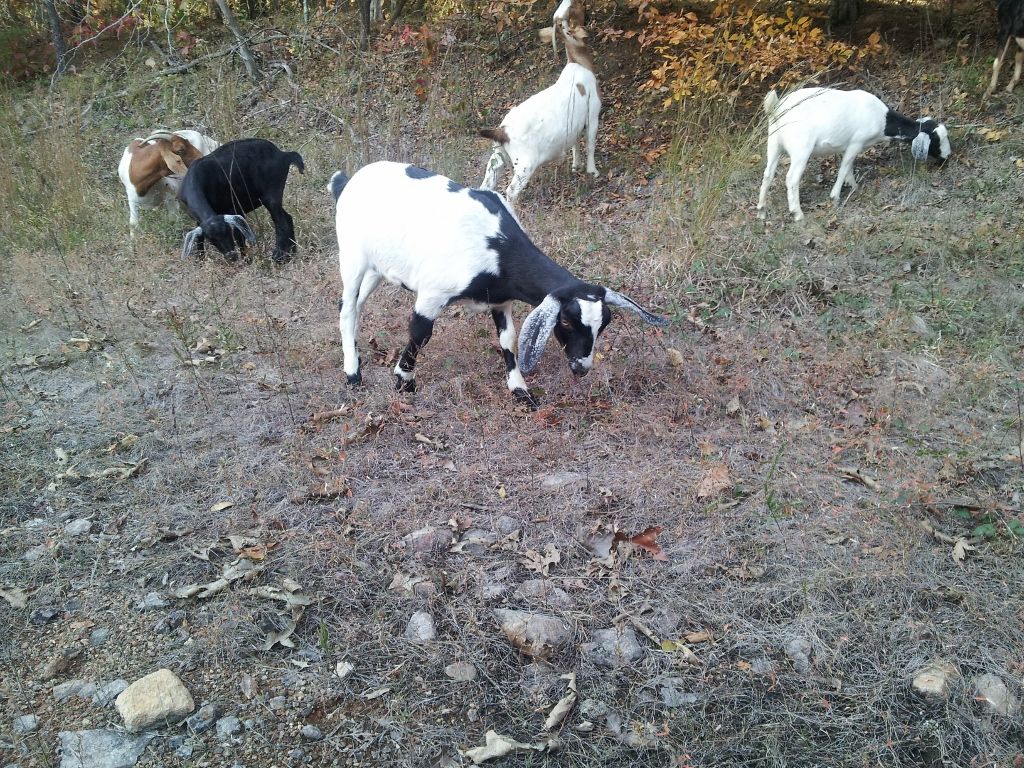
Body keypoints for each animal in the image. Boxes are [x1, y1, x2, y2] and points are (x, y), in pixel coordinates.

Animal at [329, 162, 666, 407]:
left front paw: (520, 390)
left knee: (355, 305)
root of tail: (347, 182)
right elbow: (420, 334)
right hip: (352, 256)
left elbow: (509, 339)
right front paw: (404, 381)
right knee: (347, 308)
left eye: (604, 324)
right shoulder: (432, 295)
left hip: (377, 267)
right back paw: (353, 373)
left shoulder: (500, 300)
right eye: (566, 321)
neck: (498, 248)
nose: (581, 368)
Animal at [479, 20, 600, 206]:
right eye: (571, 30)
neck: (579, 64)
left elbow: (575, 143)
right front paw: (592, 171)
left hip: (498, 157)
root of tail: (501, 131)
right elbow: (591, 144)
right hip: (525, 164)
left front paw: (576, 166)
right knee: (511, 191)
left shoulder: (574, 126)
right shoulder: (593, 114)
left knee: (486, 183)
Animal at [757, 87, 951, 222]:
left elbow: (848, 167)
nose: (946, 157)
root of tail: (776, 109)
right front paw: (835, 197)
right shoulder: (855, 142)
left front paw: (854, 187)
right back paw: (797, 213)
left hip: (773, 143)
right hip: (801, 148)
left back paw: (761, 210)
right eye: (936, 139)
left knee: (767, 174)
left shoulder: (849, 147)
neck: (882, 120)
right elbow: (843, 169)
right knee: (791, 179)